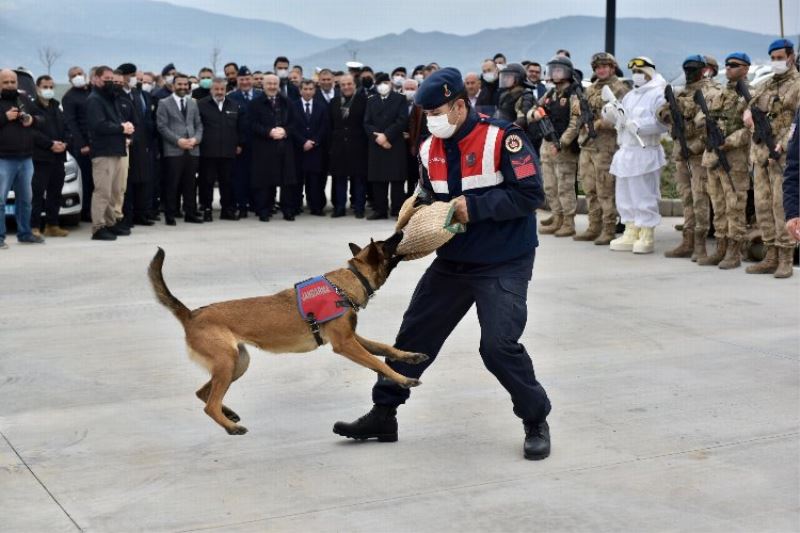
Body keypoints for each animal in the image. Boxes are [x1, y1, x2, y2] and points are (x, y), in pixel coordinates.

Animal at [148, 235, 428, 434]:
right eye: (388, 242)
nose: (402, 231)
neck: (348, 281)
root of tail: (191, 315)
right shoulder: (345, 344)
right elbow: (378, 363)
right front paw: (403, 379)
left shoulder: (353, 339)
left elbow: (383, 349)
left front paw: (410, 357)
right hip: (228, 362)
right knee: (209, 405)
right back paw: (231, 427)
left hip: (238, 362)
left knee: (203, 393)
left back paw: (229, 415)